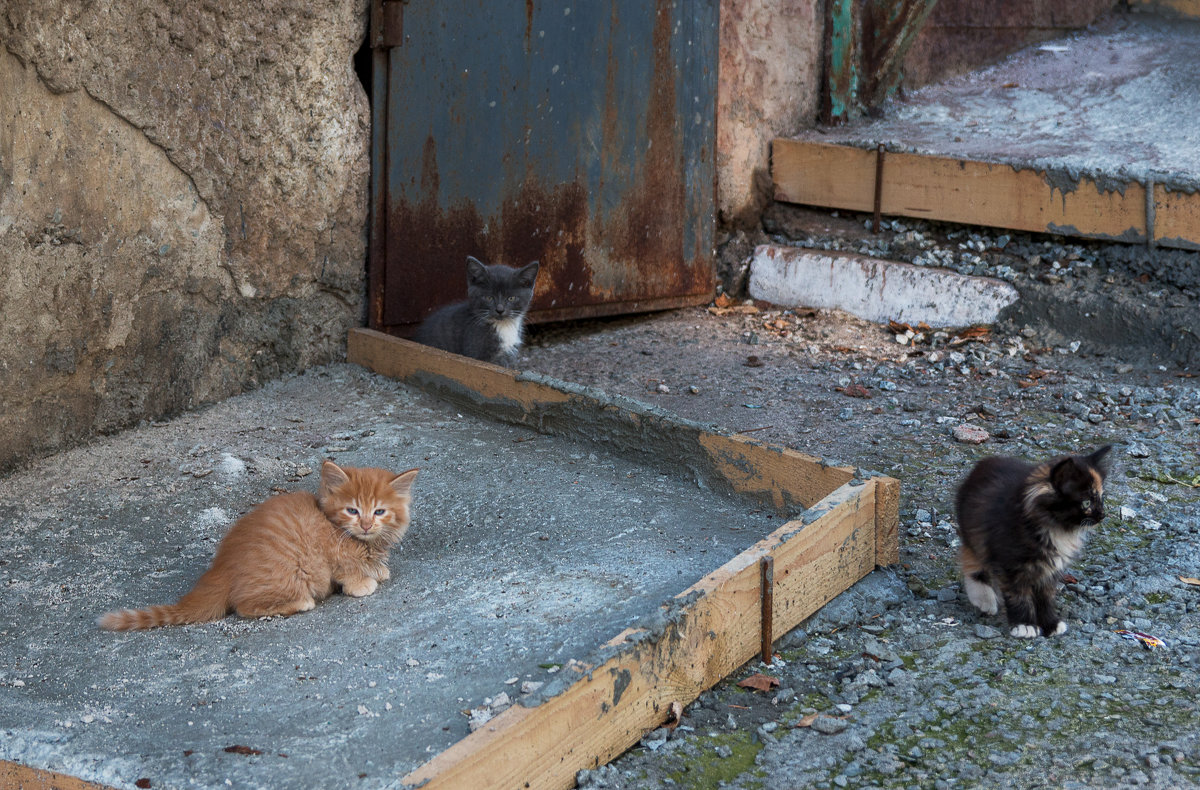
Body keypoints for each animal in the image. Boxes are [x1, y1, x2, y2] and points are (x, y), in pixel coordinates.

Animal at [98, 456, 420, 629]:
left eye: (379, 512)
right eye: (352, 511)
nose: (365, 525)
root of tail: (222, 569)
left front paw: (378, 569)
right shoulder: (334, 556)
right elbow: (348, 571)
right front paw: (363, 582)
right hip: (289, 573)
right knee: (244, 606)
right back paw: (300, 602)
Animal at [955, 446, 1113, 638]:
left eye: (1101, 499)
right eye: (1086, 503)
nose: (1102, 515)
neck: (1055, 528)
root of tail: (984, 463)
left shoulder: (1050, 570)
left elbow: (1045, 598)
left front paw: (1050, 624)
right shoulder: (1012, 565)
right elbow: (1019, 596)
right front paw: (1025, 625)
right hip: (972, 532)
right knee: (972, 561)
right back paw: (984, 599)